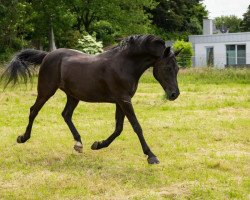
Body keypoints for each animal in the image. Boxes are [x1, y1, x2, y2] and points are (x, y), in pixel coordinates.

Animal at [1, 35, 182, 165]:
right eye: (167, 68)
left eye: (178, 68)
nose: (174, 94)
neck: (124, 64)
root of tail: (48, 55)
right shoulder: (124, 100)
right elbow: (136, 127)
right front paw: (151, 156)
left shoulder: (121, 101)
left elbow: (118, 128)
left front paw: (97, 144)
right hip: (46, 91)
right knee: (34, 110)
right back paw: (23, 138)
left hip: (73, 96)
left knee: (66, 114)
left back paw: (79, 144)